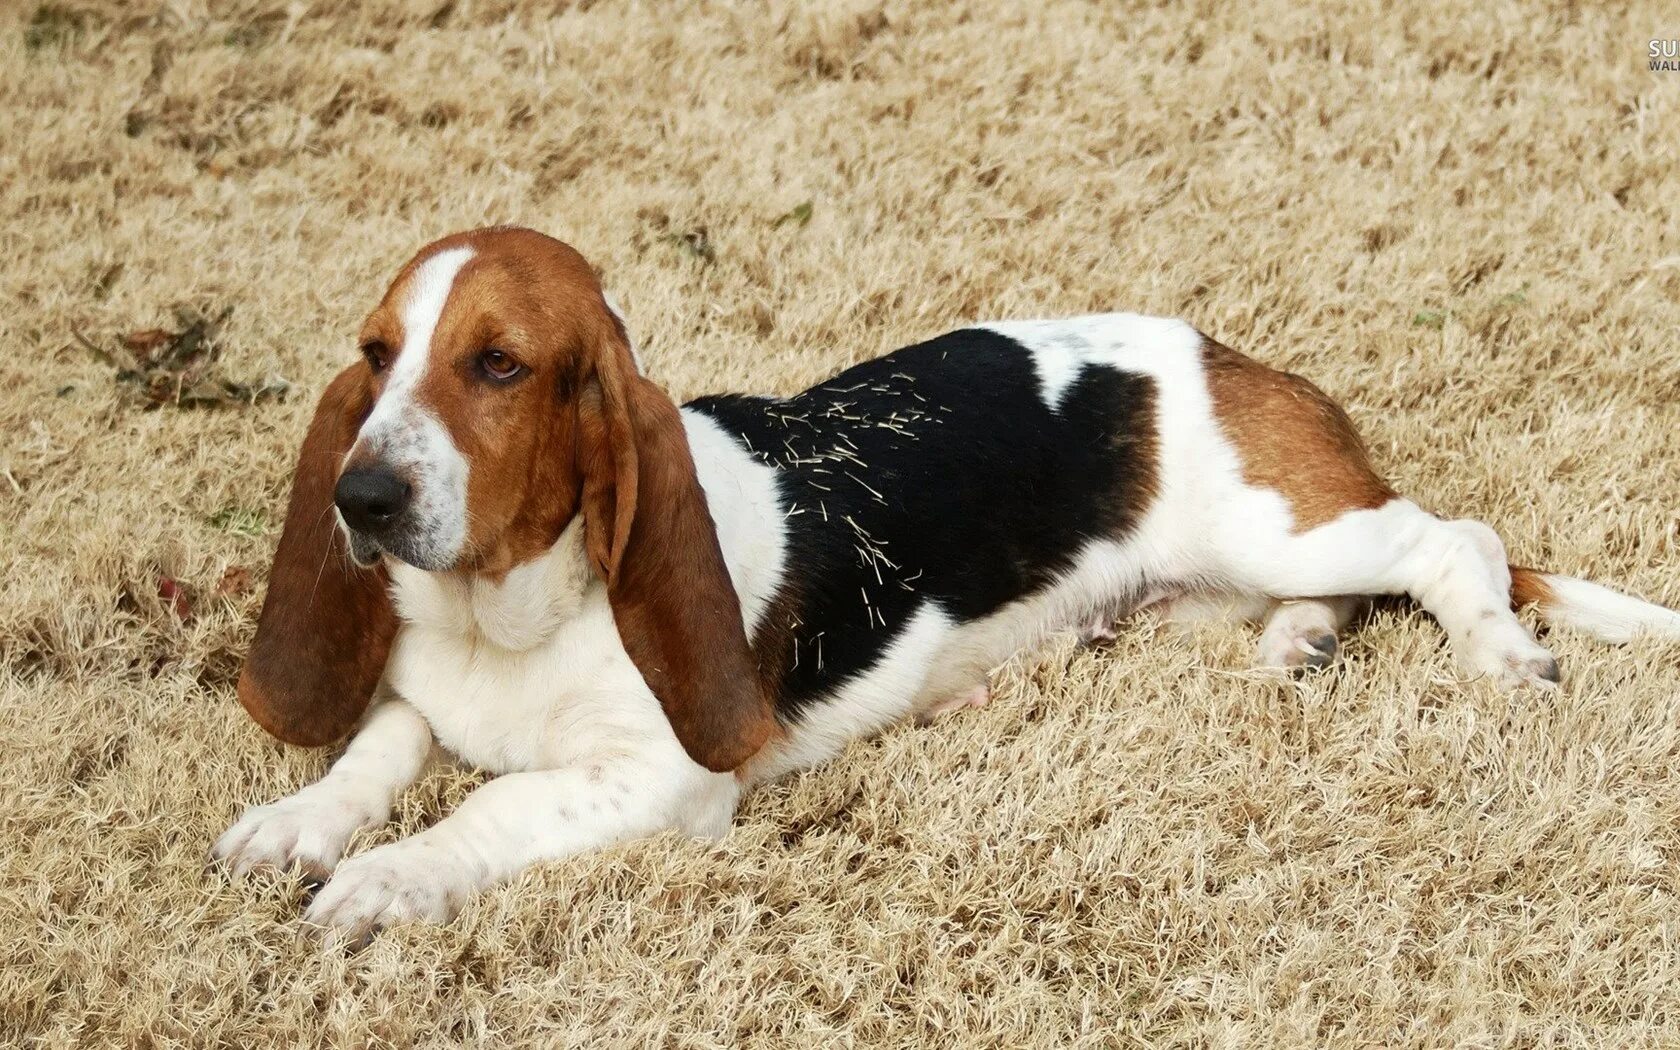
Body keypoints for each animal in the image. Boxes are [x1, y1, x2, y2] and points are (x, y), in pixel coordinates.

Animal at [216, 226, 1680, 934]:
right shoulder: (422, 695)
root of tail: (1235, 358)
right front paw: (298, 823)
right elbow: (377, 746)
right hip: (1224, 573)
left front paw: (386, 881)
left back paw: (1499, 652)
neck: (518, 612)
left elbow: (488, 806)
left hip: (1291, 526)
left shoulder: (662, 782)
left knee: (1455, 542)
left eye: (500, 364)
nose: (361, 499)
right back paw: (1298, 647)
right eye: (377, 352)